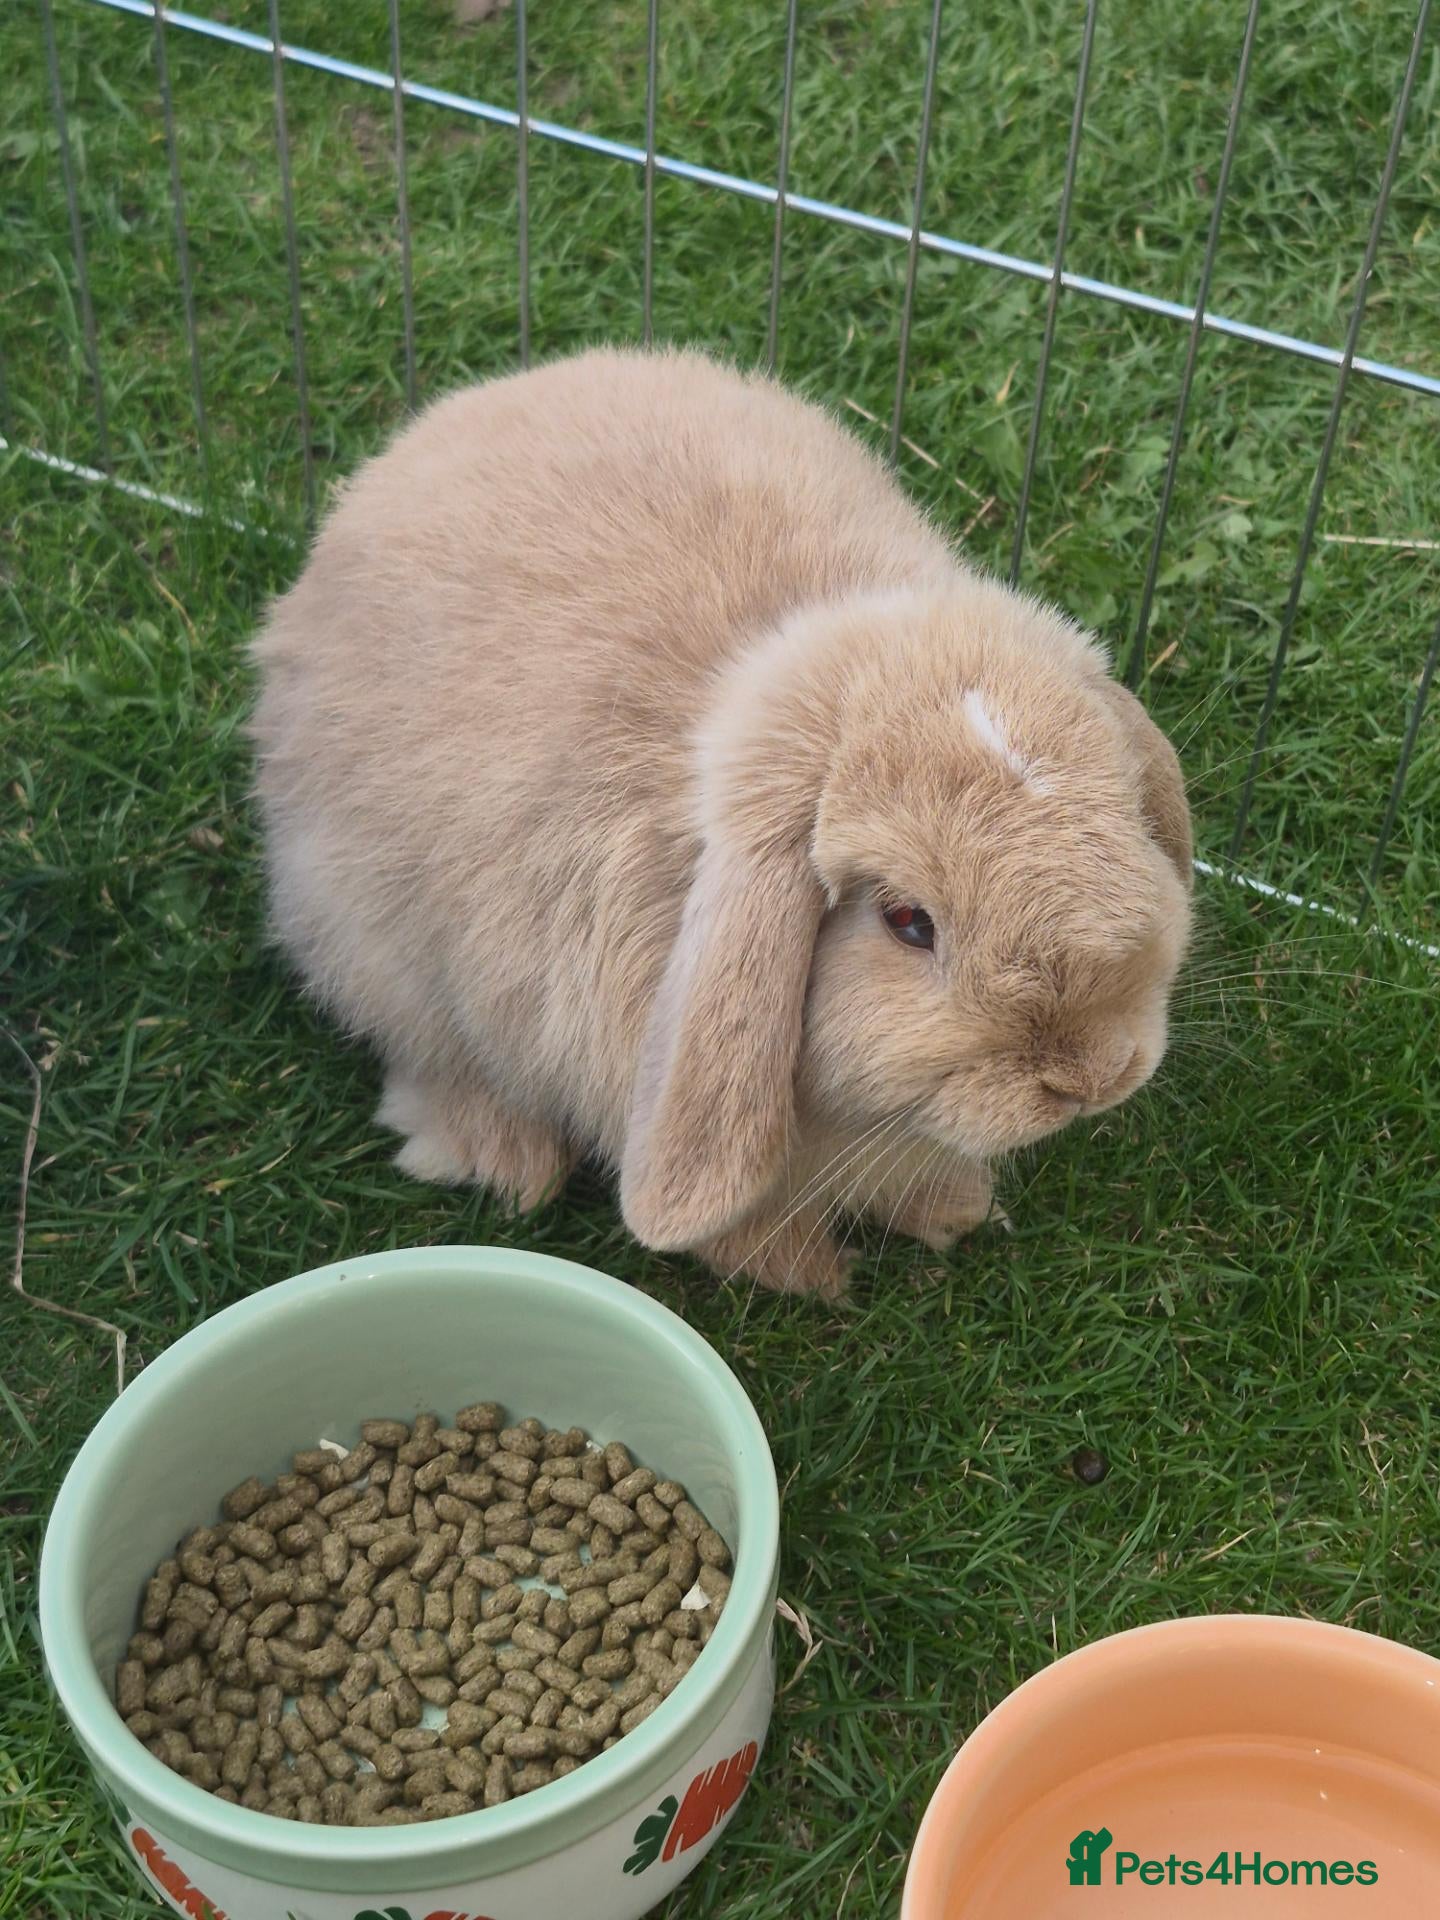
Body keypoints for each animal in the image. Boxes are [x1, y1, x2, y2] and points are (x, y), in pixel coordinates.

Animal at [250, 346, 1193, 1298]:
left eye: (1130, 819)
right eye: (907, 923)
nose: (1092, 1077)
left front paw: (957, 1210)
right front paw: (810, 1273)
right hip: (368, 944)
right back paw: (508, 1162)